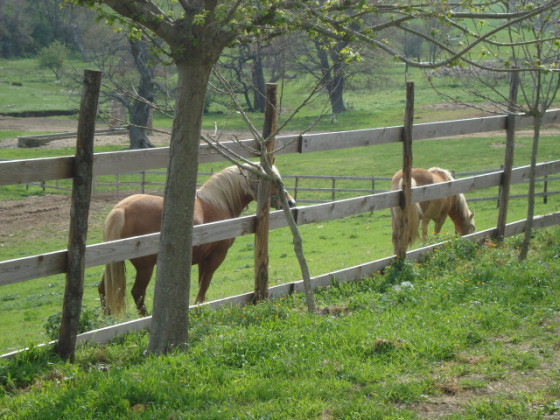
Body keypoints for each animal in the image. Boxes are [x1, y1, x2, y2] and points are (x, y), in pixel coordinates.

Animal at [98, 164, 296, 316]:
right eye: (273, 181)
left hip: (114, 264)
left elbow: (202, 284)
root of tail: (122, 209)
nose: (291, 202)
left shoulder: (203, 259)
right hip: (145, 267)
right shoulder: (216, 256)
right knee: (137, 292)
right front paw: (199, 307)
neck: (219, 203)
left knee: (104, 289)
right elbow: (204, 285)